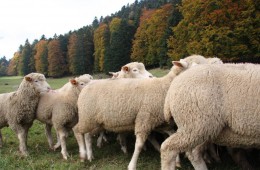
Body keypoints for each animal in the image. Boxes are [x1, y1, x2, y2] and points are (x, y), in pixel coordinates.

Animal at [74, 54, 212, 169]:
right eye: (196, 67)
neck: (164, 87)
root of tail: (88, 86)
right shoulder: (144, 119)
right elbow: (139, 145)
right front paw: (132, 165)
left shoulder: (160, 122)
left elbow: (170, 137)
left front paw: (176, 161)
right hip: (88, 118)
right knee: (78, 131)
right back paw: (84, 155)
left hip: (96, 121)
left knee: (86, 135)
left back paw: (89, 154)